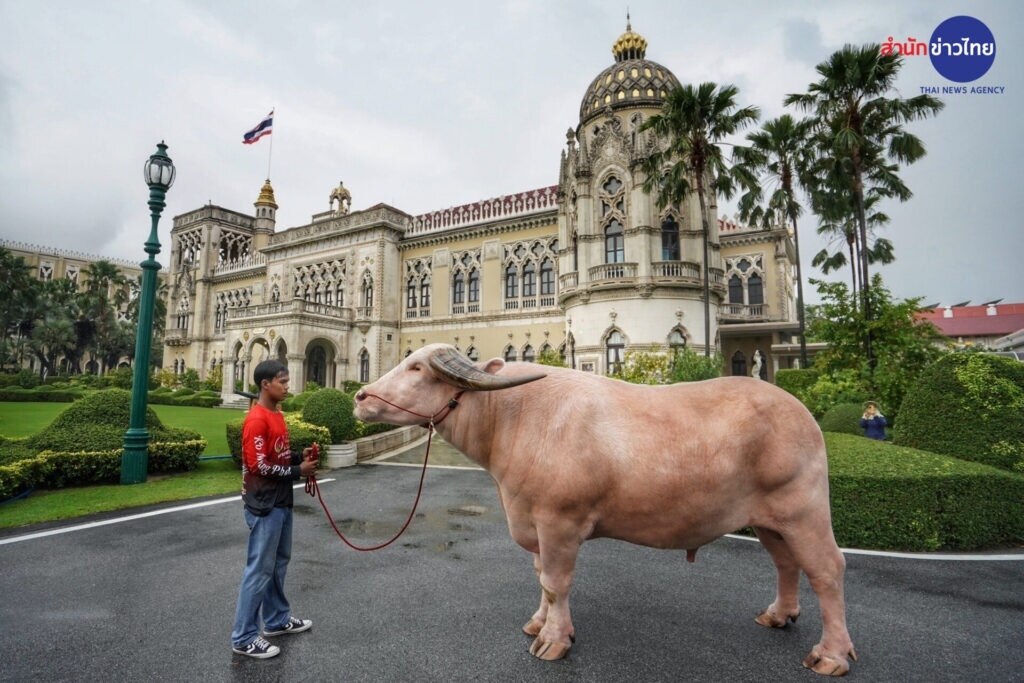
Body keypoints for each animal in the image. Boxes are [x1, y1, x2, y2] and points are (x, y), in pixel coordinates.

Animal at [354, 344, 856, 675]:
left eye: (417, 366)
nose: (360, 397)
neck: (514, 418)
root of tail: (802, 413)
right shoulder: (534, 523)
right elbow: (541, 578)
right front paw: (538, 624)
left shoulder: (559, 522)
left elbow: (556, 582)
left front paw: (553, 641)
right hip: (771, 521)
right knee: (787, 563)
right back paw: (778, 615)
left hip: (805, 511)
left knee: (827, 571)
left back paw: (831, 655)